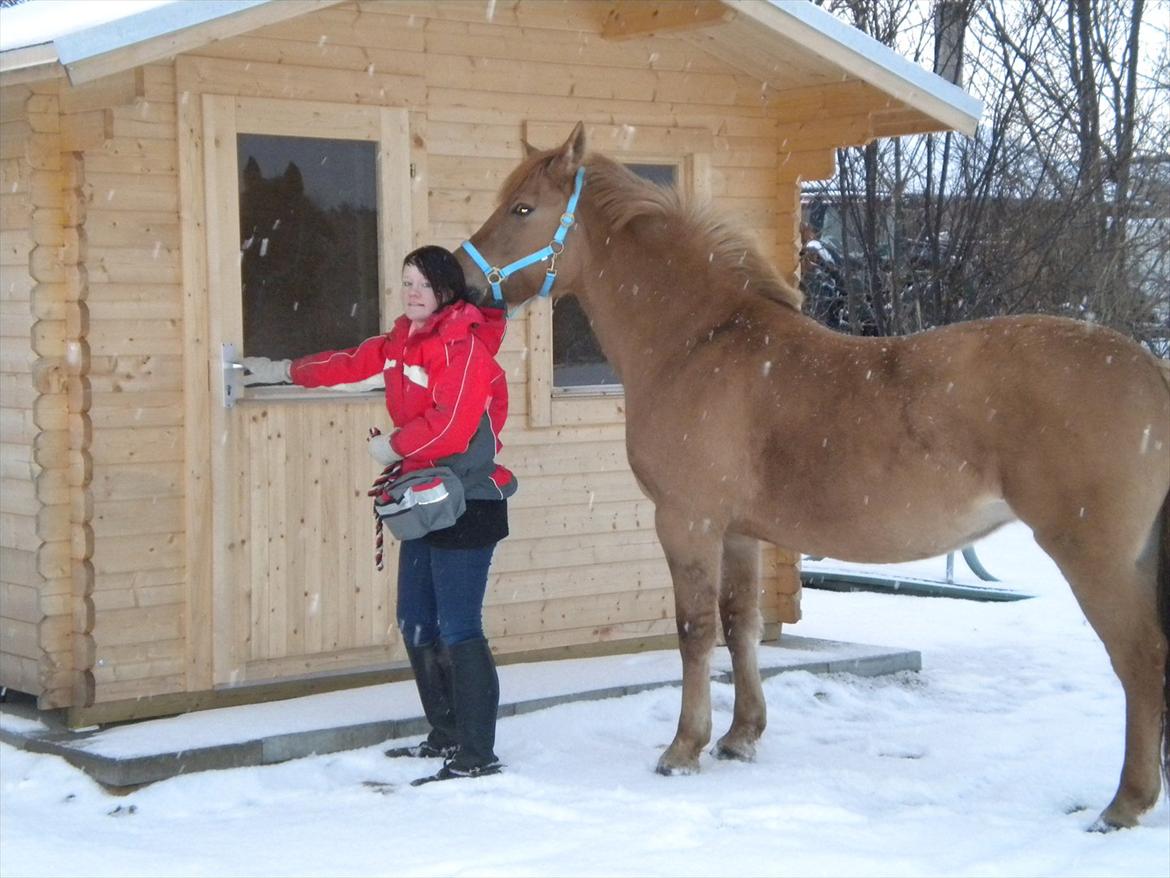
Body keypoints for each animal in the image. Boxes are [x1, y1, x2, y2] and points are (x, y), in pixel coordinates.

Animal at [453, 124, 1170, 833]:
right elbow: (740, 623)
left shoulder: (687, 521)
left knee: (1140, 660)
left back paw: (1124, 804)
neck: (698, 343)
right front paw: (740, 737)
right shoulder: (738, 532)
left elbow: (694, 630)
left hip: (1095, 557)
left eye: (523, 209)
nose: (458, 276)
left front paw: (683, 749)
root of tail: (1147, 367)